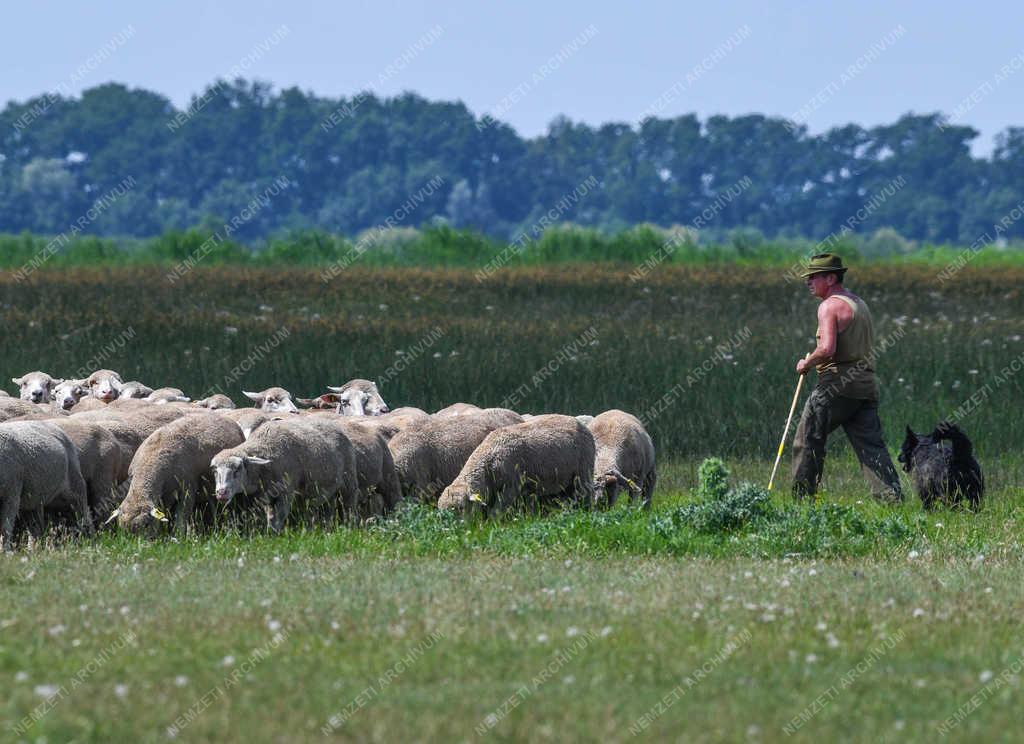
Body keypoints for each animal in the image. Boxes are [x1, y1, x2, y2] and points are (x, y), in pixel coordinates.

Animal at [115, 413, 244, 536]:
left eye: (146, 525)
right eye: (122, 528)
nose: (140, 543)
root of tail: (225, 418)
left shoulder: (187, 489)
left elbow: (181, 517)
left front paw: (179, 535)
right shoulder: (165, 495)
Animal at [207, 415, 360, 532]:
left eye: (238, 468)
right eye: (214, 470)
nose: (221, 492)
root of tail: (335, 427)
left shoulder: (286, 492)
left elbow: (279, 517)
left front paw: (276, 535)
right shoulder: (267, 496)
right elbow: (270, 517)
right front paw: (270, 533)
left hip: (348, 481)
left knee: (349, 506)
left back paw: (349, 527)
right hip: (327, 489)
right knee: (329, 509)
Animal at [438, 413, 598, 517]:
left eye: (461, 508)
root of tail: (577, 421)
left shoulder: (511, 486)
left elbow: (496, 512)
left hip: (584, 471)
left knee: (586, 494)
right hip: (561, 479)